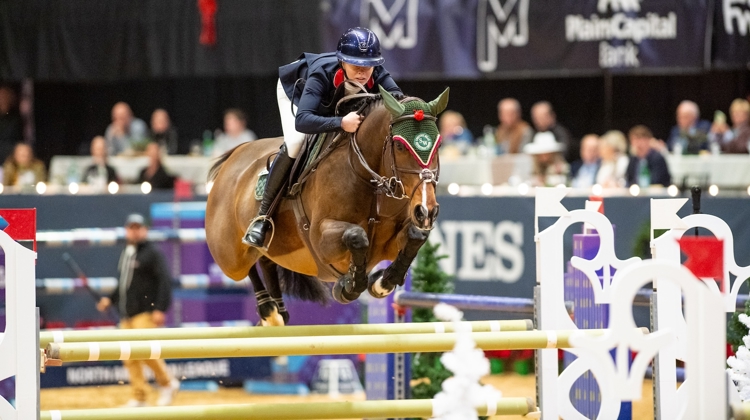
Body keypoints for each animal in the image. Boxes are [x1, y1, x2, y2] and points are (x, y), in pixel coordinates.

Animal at [206, 85, 450, 326]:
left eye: (438, 144)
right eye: (399, 146)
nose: (426, 211)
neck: (367, 174)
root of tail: (236, 154)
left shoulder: (390, 242)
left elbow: (415, 236)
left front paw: (382, 282)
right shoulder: (320, 238)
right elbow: (356, 236)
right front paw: (349, 286)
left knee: (266, 260)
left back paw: (278, 312)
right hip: (229, 257)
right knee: (246, 265)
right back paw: (268, 309)